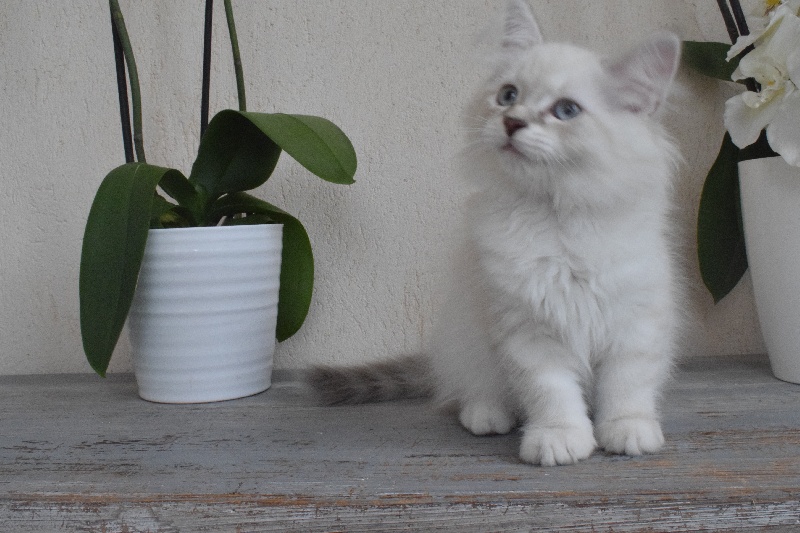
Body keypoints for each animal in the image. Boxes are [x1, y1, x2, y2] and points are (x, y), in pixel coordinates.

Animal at [306, 1, 680, 466]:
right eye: (508, 96)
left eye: (566, 110)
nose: (512, 122)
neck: (556, 218)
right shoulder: (526, 328)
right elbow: (551, 392)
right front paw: (558, 438)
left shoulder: (634, 321)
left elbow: (626, 386)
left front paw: (628, 429)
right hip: (468, 336)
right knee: (473, 387)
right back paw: (486, 414)